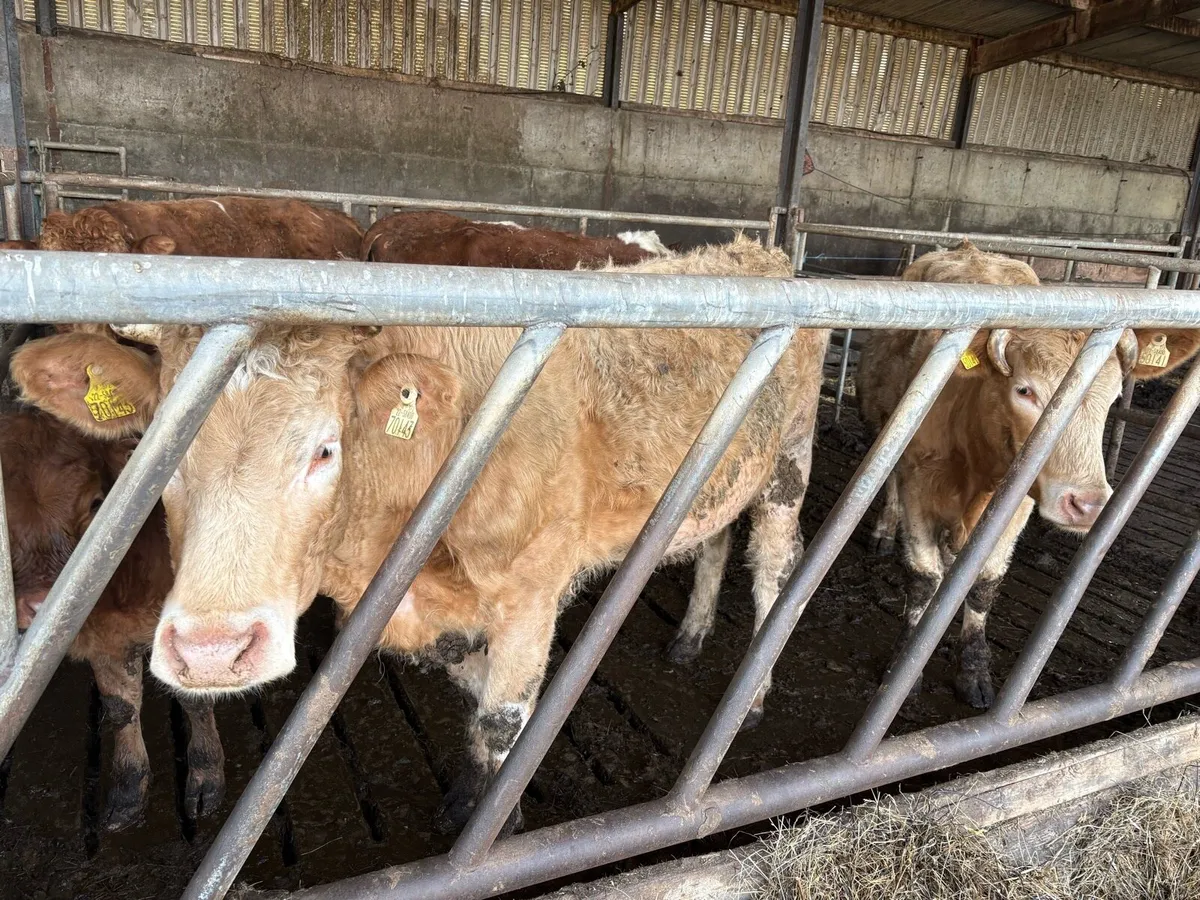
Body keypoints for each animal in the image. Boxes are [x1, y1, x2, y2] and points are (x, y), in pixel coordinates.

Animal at [1, 407, 224, 830]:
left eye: (96, 503)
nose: (38, 605)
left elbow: (195, 700)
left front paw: (206, 776)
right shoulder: (104, 639)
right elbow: (120, 706)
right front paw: (128, 789)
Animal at [858, 240, 1199, 708]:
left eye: (1114, 396)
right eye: (1025, 390)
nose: (1087, 504)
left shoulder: (1017, 501)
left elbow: (983, 583)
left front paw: (974, 671)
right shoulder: (919, 483)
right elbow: (924, 579)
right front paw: (903, 673)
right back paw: (883, 532)